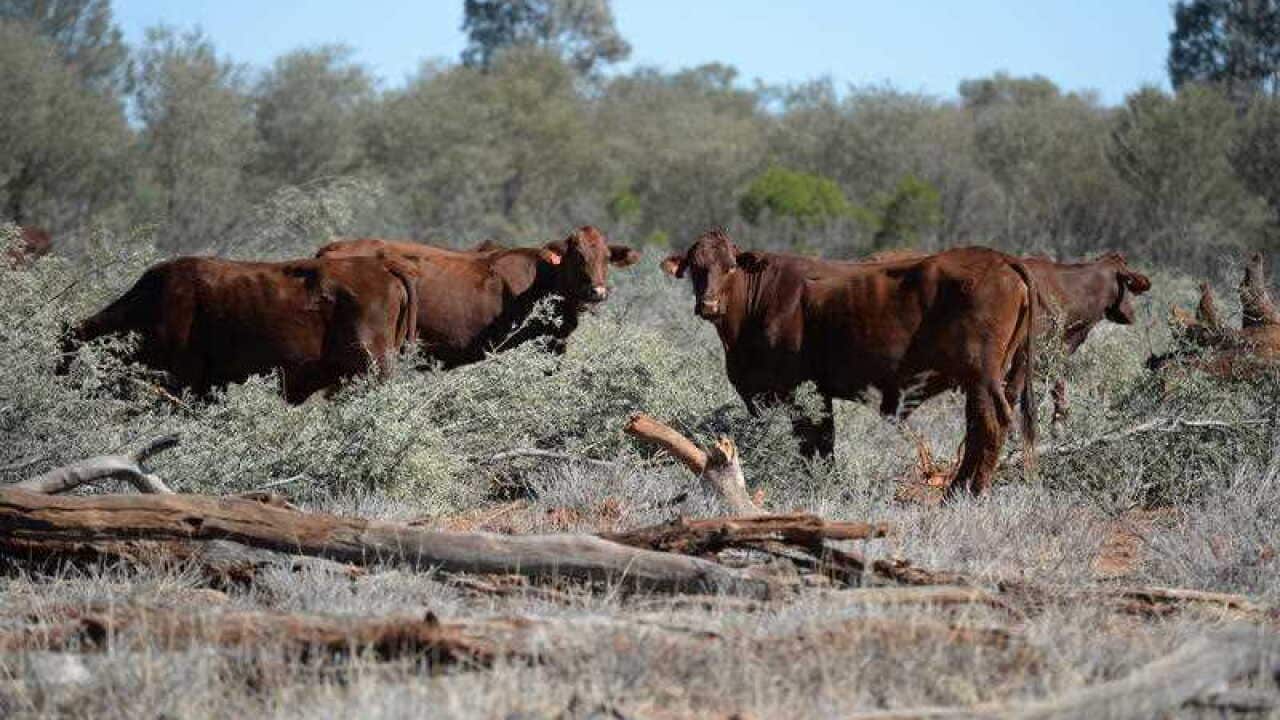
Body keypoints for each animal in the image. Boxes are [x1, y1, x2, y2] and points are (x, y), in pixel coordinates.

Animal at [662, 229, 1037, 496]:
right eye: (696, 268)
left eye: (730, 267)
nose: (709, 304)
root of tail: (1000, 259)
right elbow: (822, 443)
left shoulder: (794, 390)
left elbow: (811, 442)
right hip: (980, 381)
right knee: (977, 428)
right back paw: (956, 490)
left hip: (982, 376)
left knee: (991, 425)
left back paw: (971, 492)